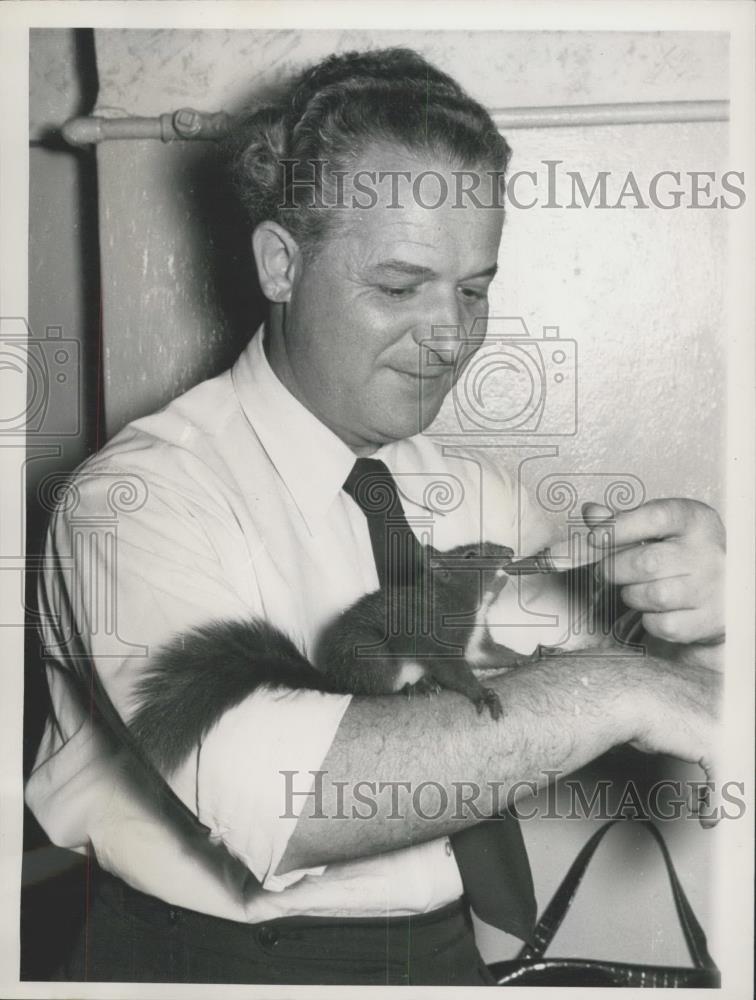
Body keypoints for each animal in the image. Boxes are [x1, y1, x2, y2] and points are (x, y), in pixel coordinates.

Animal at [127, 544, 536, 776]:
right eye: (470, 556)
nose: (508, 552)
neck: (469, 605)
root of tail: (337, 680)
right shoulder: (438, 638)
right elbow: (455, 672)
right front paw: (482, 694)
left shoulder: (477, 643)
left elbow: (495, 655)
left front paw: (534, 655)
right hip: (374, 657)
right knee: (375, 690)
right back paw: (415, 687)